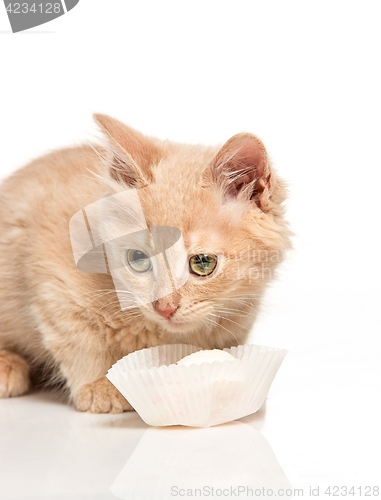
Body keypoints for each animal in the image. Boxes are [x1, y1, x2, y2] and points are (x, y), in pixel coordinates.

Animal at [0, 115, 290, 412]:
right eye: (138, 260)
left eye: (202, 263)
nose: (164, 308)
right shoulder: (52, 281)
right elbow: (80, 340)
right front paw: (99, 385)